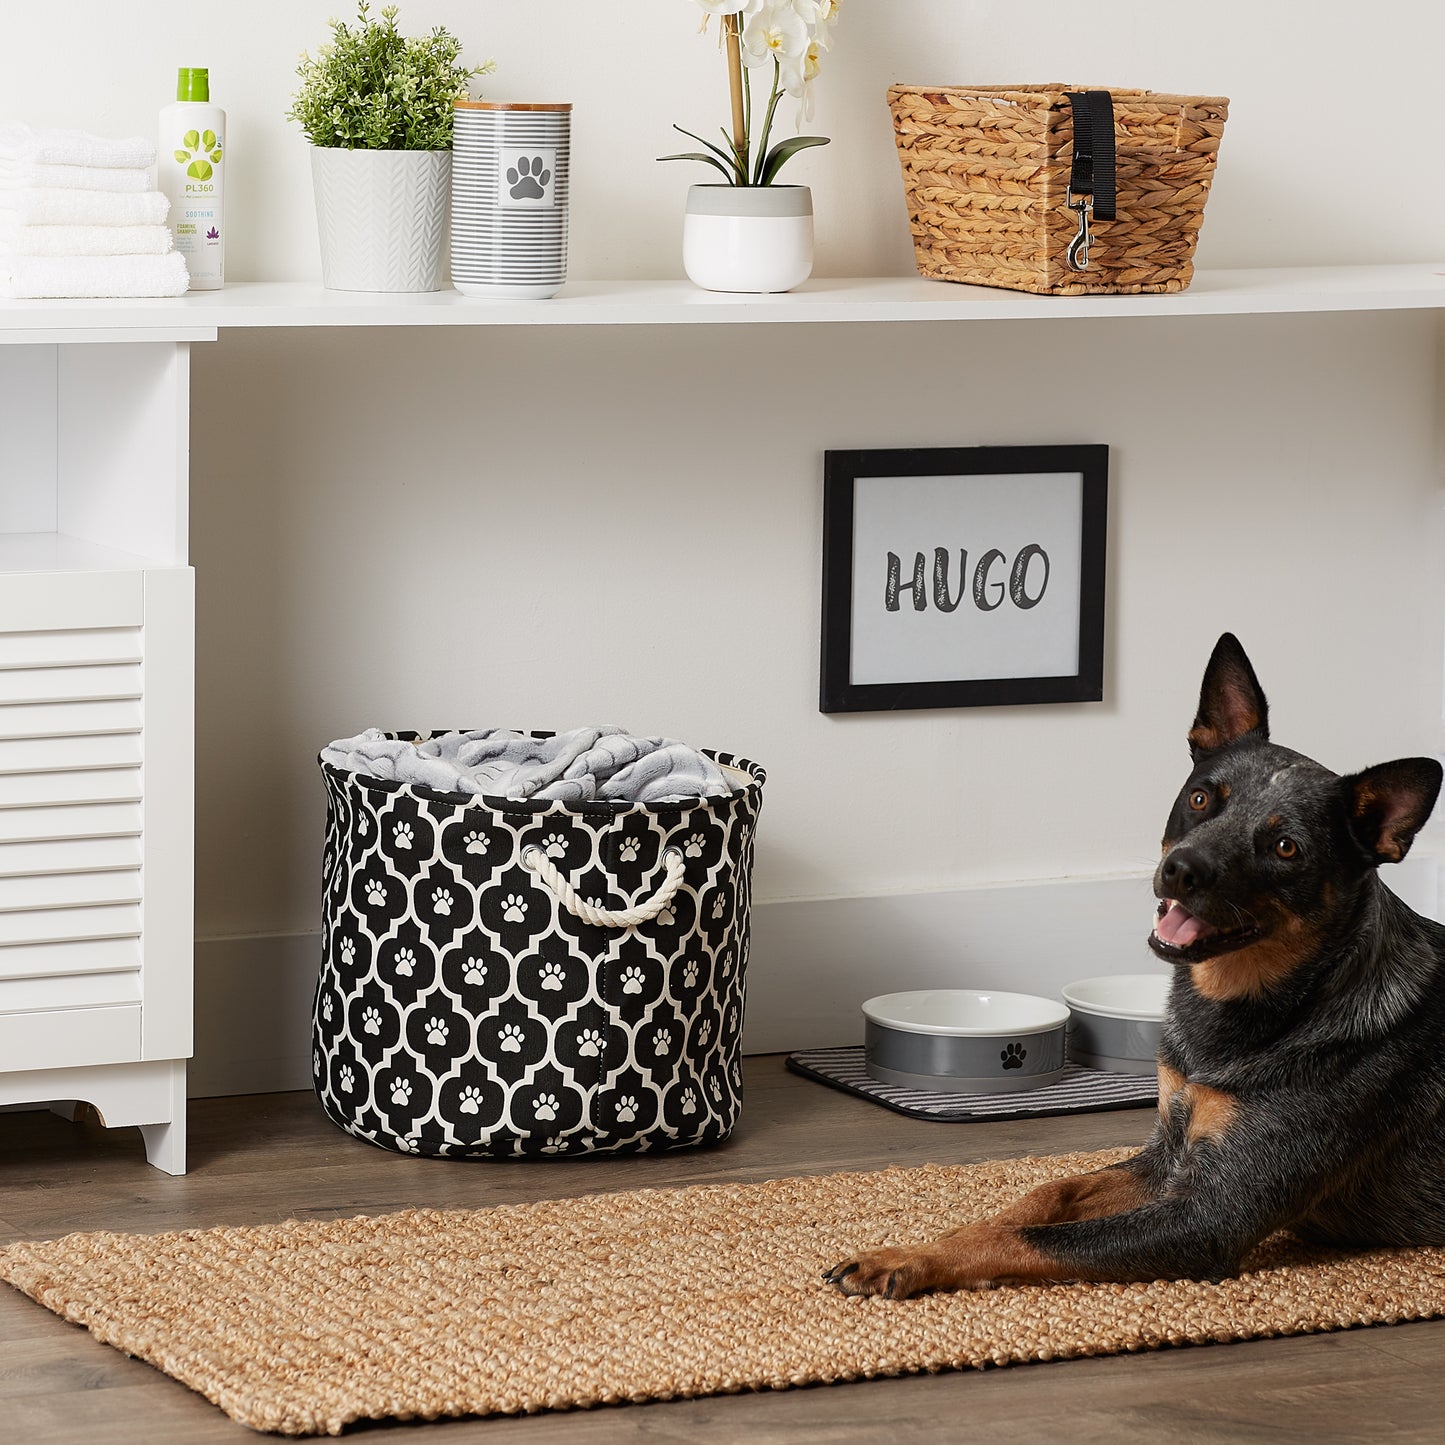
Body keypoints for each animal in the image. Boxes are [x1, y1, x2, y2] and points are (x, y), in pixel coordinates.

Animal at [826, 632, 1445, 1300]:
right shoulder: (1165, 1156)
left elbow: (1032, 1239)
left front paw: (914, 1260)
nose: (1181, 869)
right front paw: (929, 1242)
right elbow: (1042, 1195)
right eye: (1200, 798)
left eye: (1285, 847)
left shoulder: (1209, 1217)